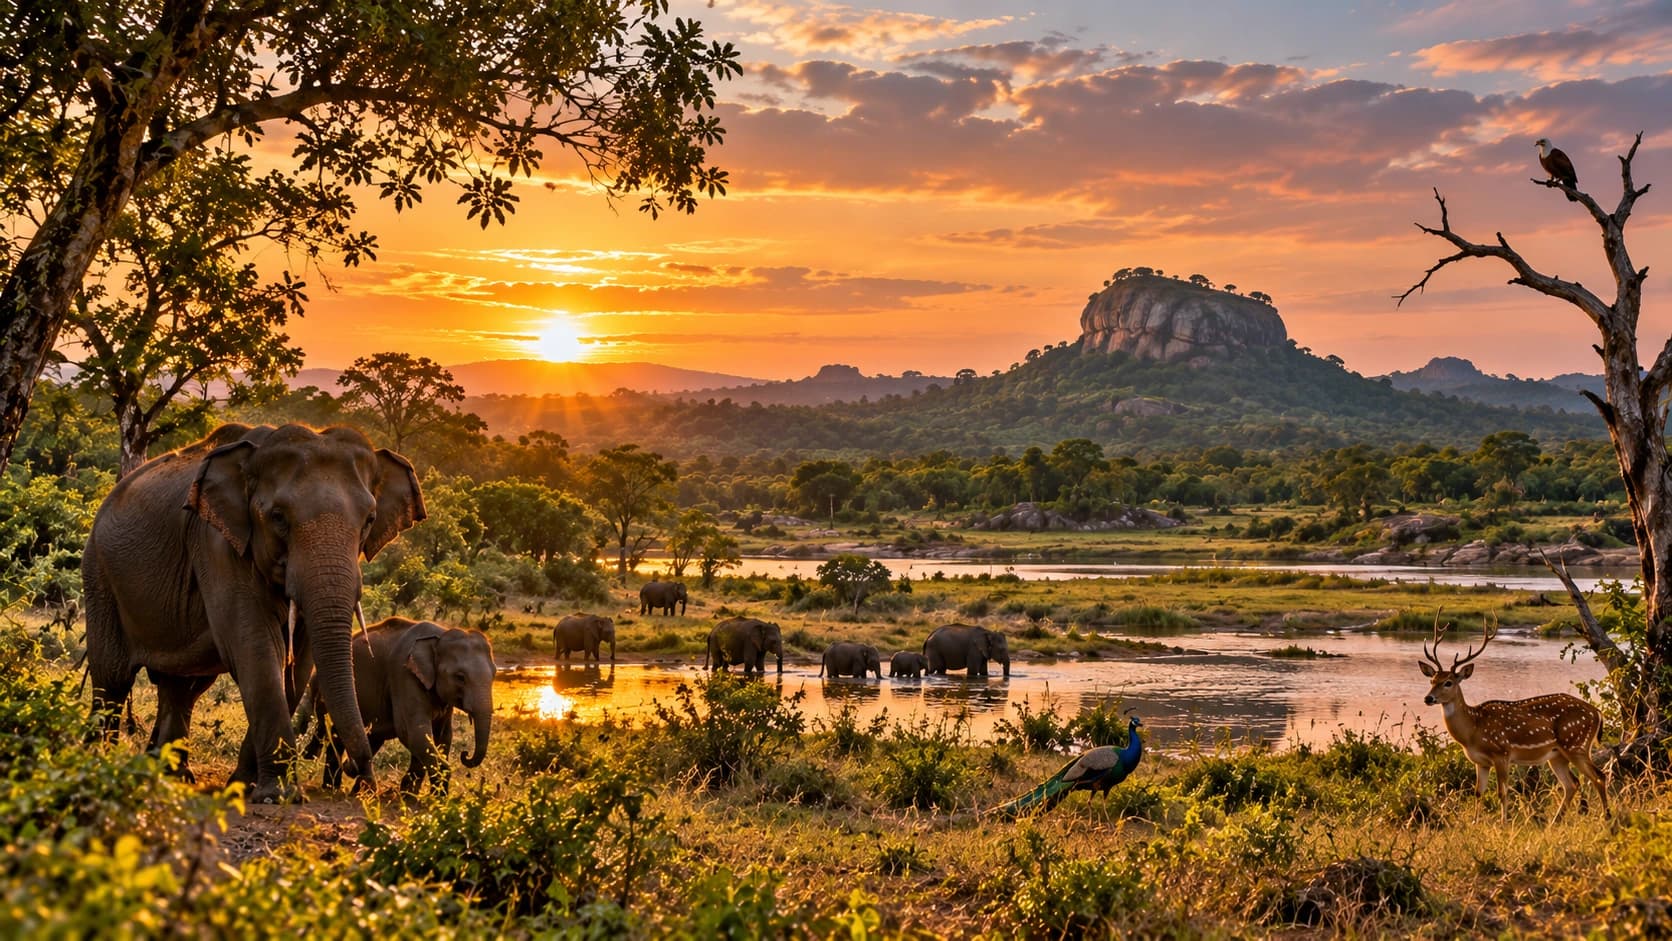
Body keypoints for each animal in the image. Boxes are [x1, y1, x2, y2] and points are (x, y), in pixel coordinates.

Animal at [82, 423, 424, 803]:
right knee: (113, 678)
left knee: (180, 687)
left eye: (369, 520)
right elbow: (256, 647)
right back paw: (99, 761)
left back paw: (172, 775)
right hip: (99, 574)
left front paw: (244, 786)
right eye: (278, 517)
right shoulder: (216, 545)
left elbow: (298, 663)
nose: (359, 773)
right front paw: (278, 796)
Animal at [305, 617, 495, 795]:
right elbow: (413, 732)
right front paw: (428, 797)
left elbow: (442, 736)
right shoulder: (403, 674)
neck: (439, 636)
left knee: (371, 739)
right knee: (336, 736)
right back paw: (334, 788)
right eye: (460, 677)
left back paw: (356, 789)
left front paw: (413, 795)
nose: (465, 754)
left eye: (494, 675)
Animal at [1418, 619, 1610, 822]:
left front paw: (1504, 822)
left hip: (1576, 743)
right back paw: (1555, 821)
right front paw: (1475, 821)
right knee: (1571, 784)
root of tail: (1597, 713)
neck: (1473, 731)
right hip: (1558, 755)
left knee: (1598, 776)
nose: (1428, 698)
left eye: (1448, 682)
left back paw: (1606, 817)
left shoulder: (1502, 753)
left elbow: (1502, 792)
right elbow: (1479, 792)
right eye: (1431, 680)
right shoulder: (1480, 762)